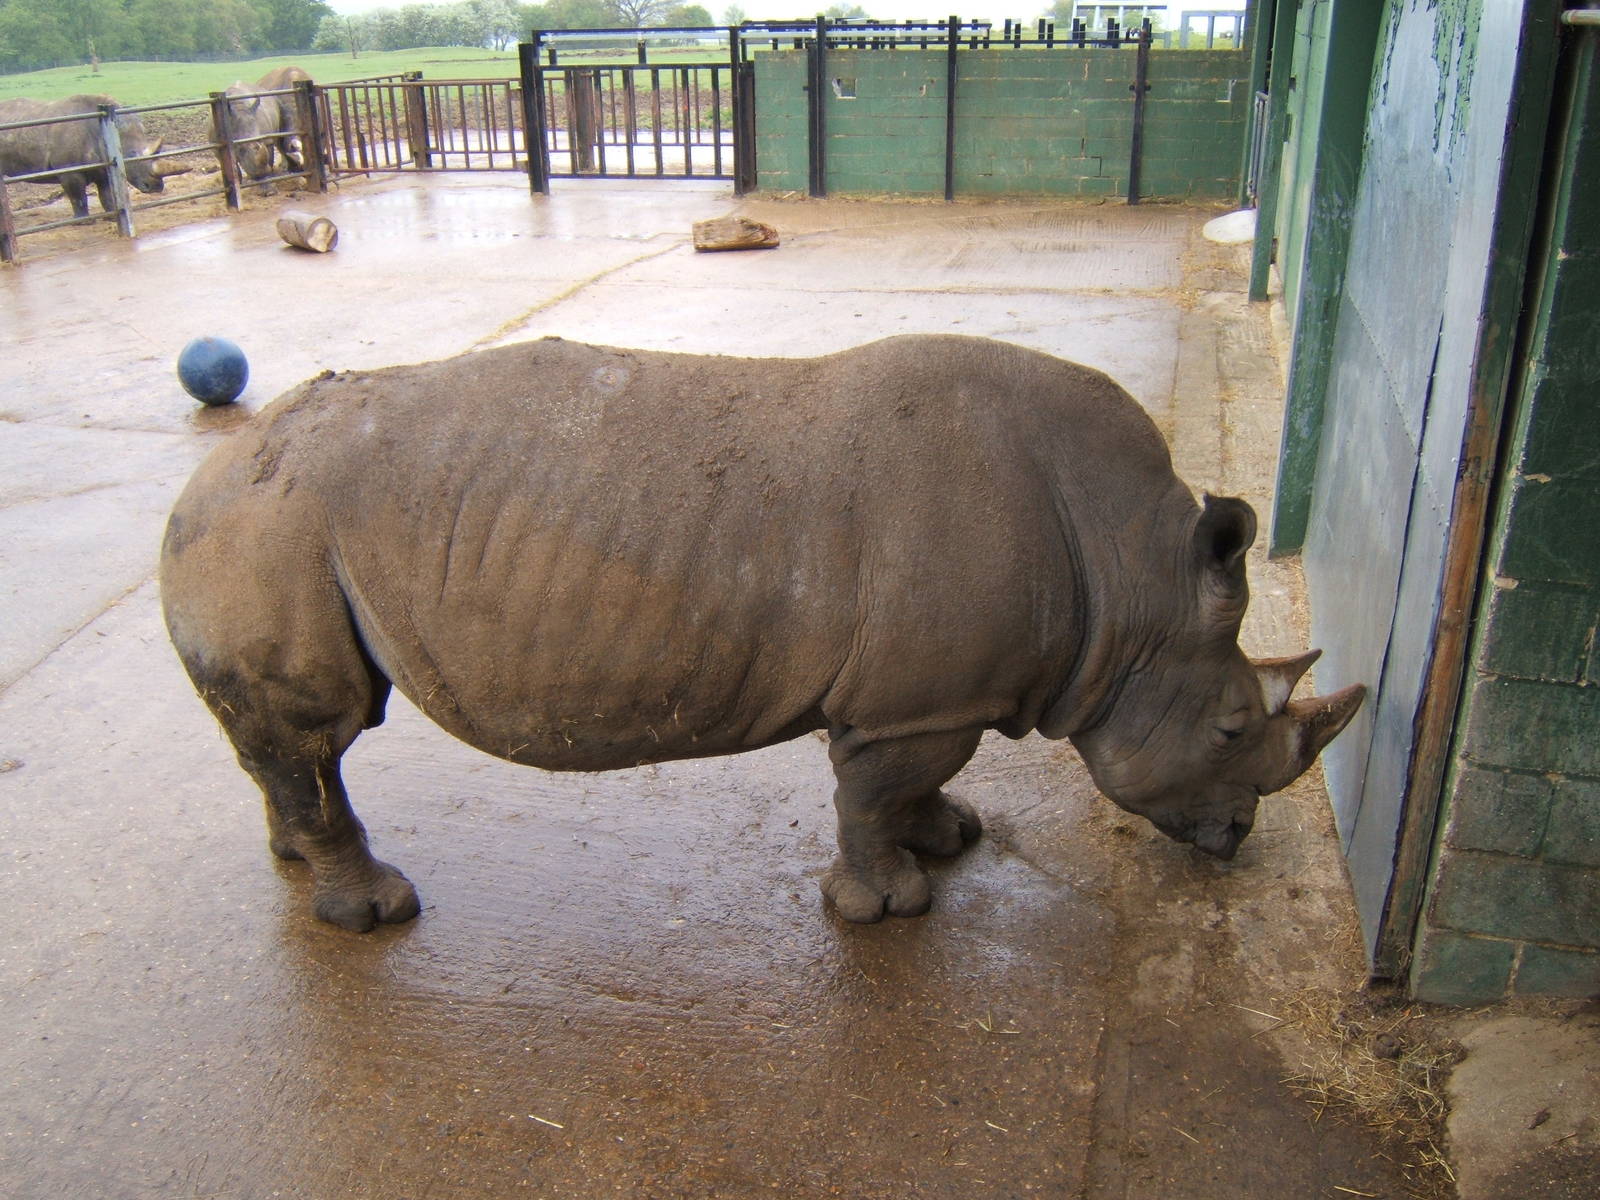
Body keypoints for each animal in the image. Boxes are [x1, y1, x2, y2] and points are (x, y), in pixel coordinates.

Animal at [0, 95, 187, 218]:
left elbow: (107, 194)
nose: (156, 187)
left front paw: (112, 215)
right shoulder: (69, 170)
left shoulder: (105, 166)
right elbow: (78, 197)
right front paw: (82, 221)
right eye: (131, 156)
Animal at [159, 335, 1365, 932]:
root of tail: (203, 476)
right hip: (270, 528)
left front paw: (951, 838)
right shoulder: (913, 703)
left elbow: (914, 789)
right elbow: (872, 797)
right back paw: (375, 914)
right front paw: (885, 909)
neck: (1132, 579)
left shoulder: (930, 697)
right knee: (319, 733)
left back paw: (294, 859)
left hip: (263, 526)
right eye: (1227, 732)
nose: (1234, 841)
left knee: (291, 749)